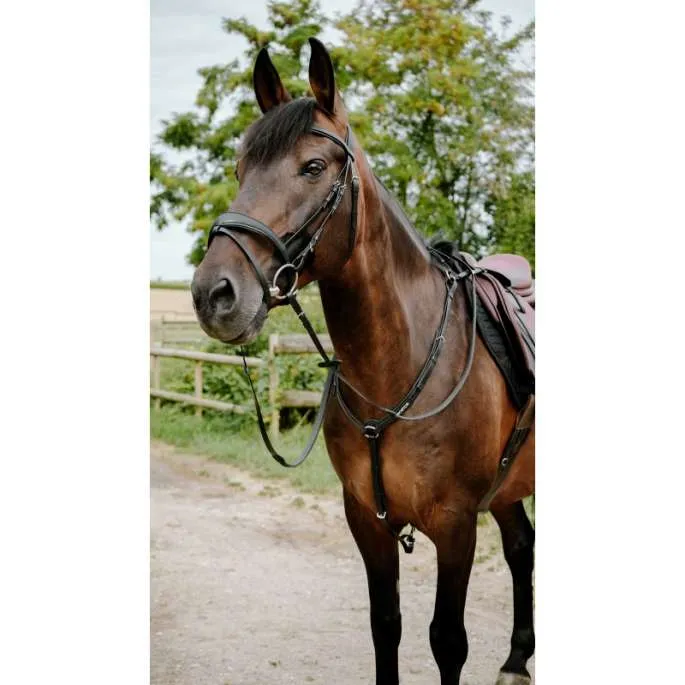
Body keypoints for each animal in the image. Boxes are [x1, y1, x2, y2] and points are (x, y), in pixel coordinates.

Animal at [191, 38, 535, 685]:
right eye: (241, 170)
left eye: (313, 167)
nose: (212, 293)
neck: (397, 370)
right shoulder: (366, 521)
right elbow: (386, 628)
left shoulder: (456, 525)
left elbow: (447, 641)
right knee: (522, 546)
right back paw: (516, 660)